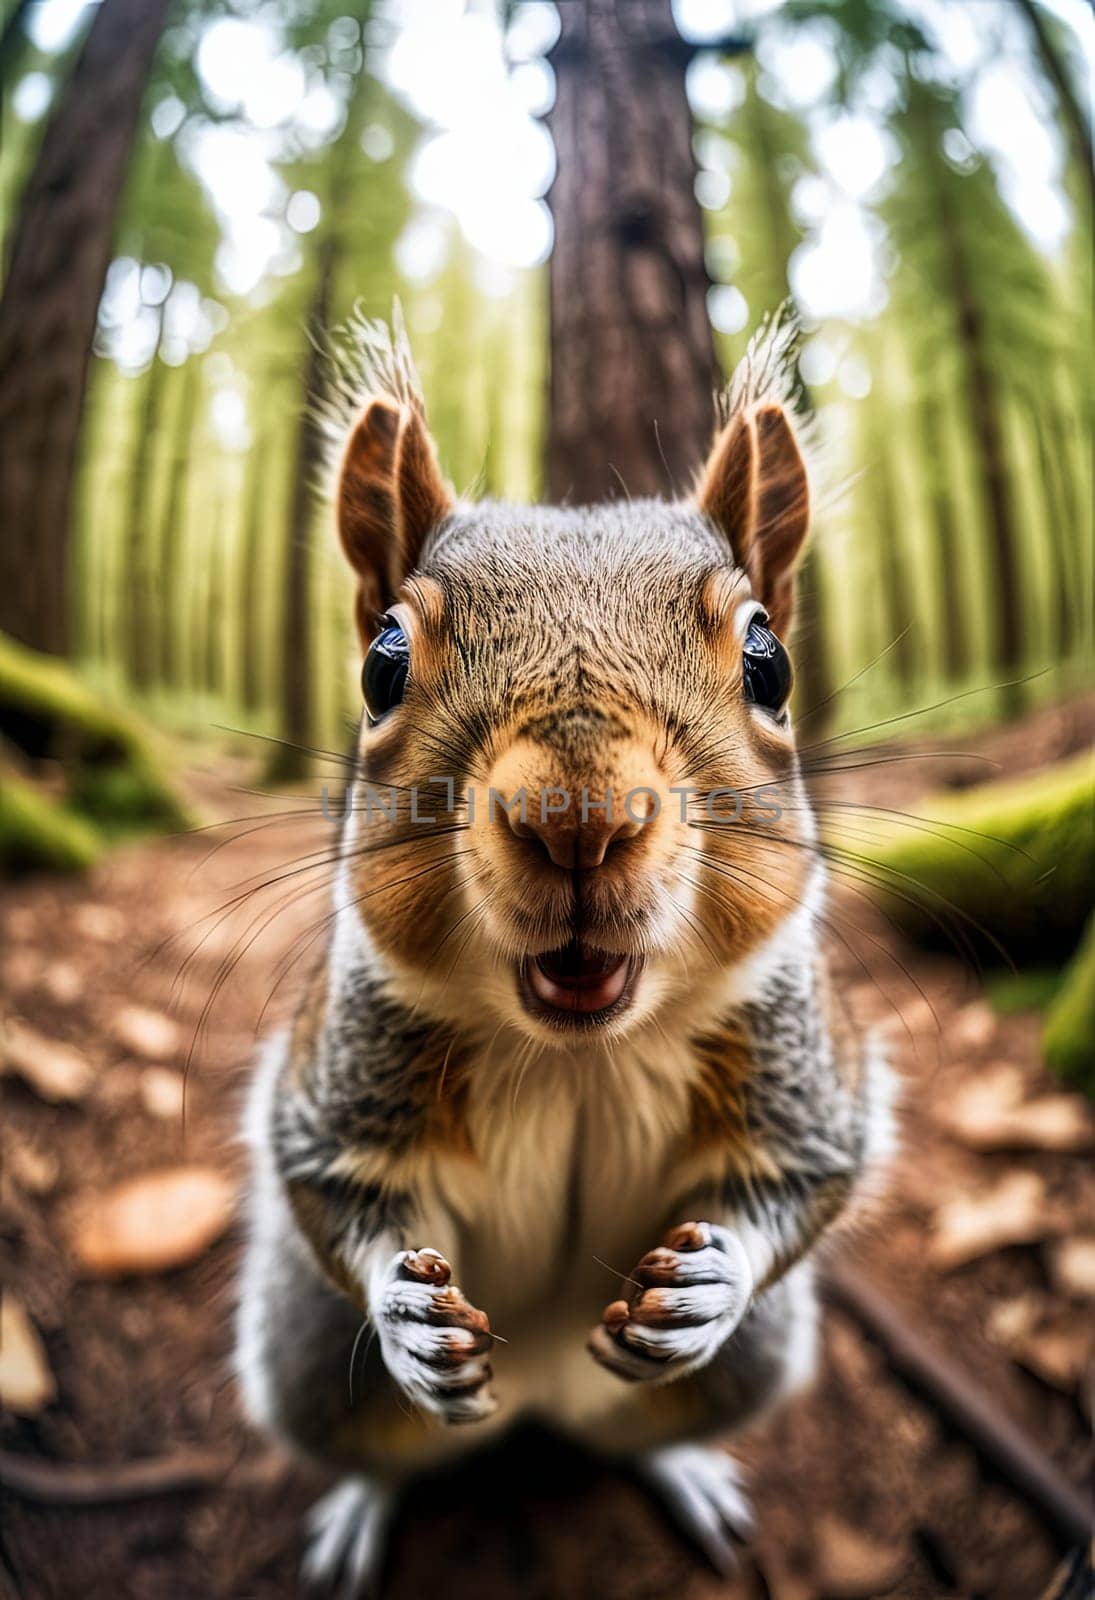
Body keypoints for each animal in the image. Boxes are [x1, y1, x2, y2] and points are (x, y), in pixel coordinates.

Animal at [235, 308, 896, 1587]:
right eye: (382, 661)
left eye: (771, 663)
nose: (578, 818)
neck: (576, 1053)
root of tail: (541, 1397)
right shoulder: (331, 1076)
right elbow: (331, 1186)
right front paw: (406, 1314)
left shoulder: (807, 1065)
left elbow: (807, 1177)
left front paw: (713, 1278)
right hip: (305, 1359)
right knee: (367, 1432)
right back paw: (362, 1500)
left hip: (743, 1370)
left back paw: (684, 1466)